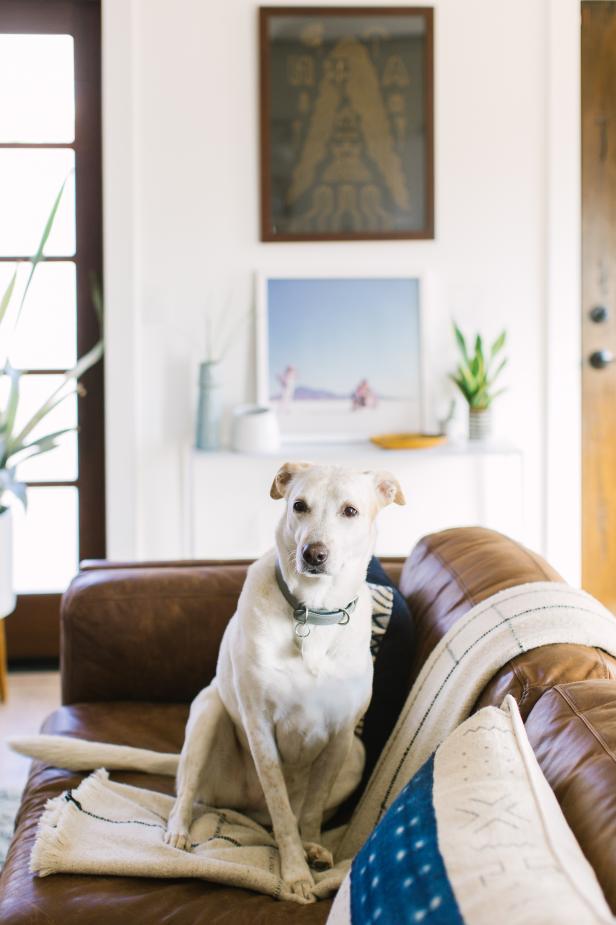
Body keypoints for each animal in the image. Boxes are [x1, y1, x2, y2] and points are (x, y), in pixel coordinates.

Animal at [10, 466, 404, 900]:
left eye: (350, 511)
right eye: (299, 505)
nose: (312, 554)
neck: (313, 611)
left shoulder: (340, 734)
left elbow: (310, 811)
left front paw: (310, 848)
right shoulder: (260, 726)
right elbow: (283, 814)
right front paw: (295, 873)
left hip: (357, 752)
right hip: (207, 712)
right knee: (187, 792)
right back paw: (179, 833)